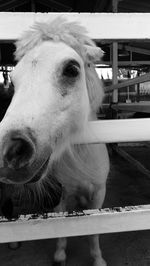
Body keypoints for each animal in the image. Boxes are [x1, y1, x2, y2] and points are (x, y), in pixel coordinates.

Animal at [0, 17, 109, 264]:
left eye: (71, 69)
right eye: (13, 80)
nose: (9, 151)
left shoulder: (99, 192)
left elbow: (95, 230)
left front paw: (98, 258)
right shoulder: (61, 195)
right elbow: (62, 228)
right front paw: (60, 255)